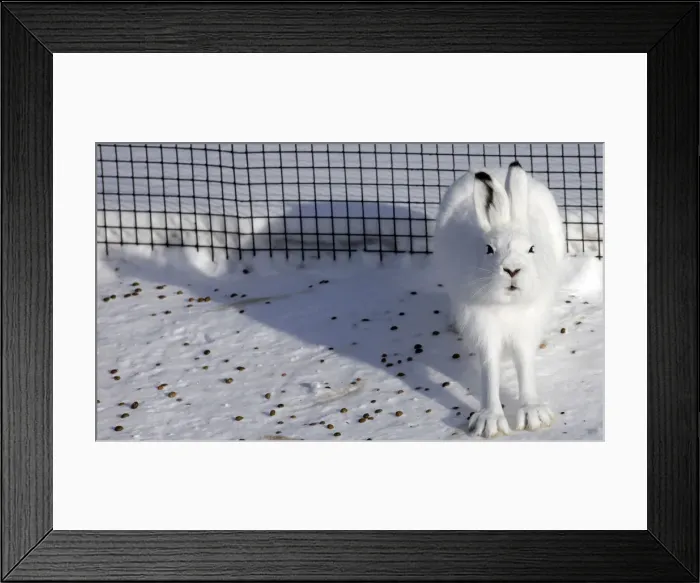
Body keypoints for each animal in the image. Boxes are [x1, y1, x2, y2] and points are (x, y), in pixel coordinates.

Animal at [432, 161, 566, 438]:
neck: (508, 306)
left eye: (531, 249)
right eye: (489, 249)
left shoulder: (526, 326)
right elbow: (489, 366)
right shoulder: (483, 327)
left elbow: (524, 362)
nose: (512, 270)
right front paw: (489, 422)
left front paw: (534, 414)